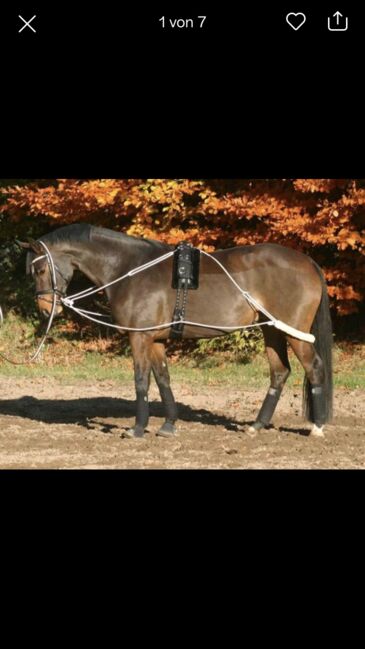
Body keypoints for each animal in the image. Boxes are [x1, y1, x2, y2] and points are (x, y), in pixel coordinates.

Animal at [19, 224, 332, 440]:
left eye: (40, 270)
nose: (46, 308)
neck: (128, 268)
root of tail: (308, 262)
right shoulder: (155, 340)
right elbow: (163, 380)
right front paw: (169, 425)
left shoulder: (139, 337)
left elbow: (142, 381)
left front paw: (138, 428)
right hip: (272, 331)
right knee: (279, 372)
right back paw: (256, 425)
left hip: (294, 332)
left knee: (314, 368)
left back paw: (316, 427)